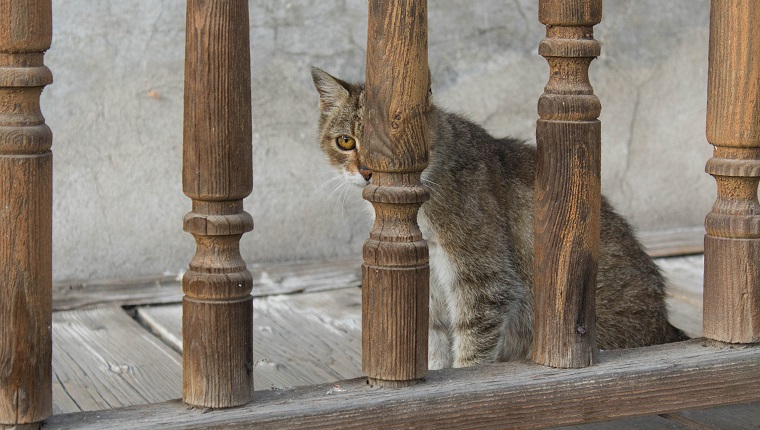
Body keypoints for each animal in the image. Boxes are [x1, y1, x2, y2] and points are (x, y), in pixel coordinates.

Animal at [312, 67, 684, 370]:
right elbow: (432, 347)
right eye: (345, 141)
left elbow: (472, 350)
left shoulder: (484, 279)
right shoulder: (431, 288)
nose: (366, 172)